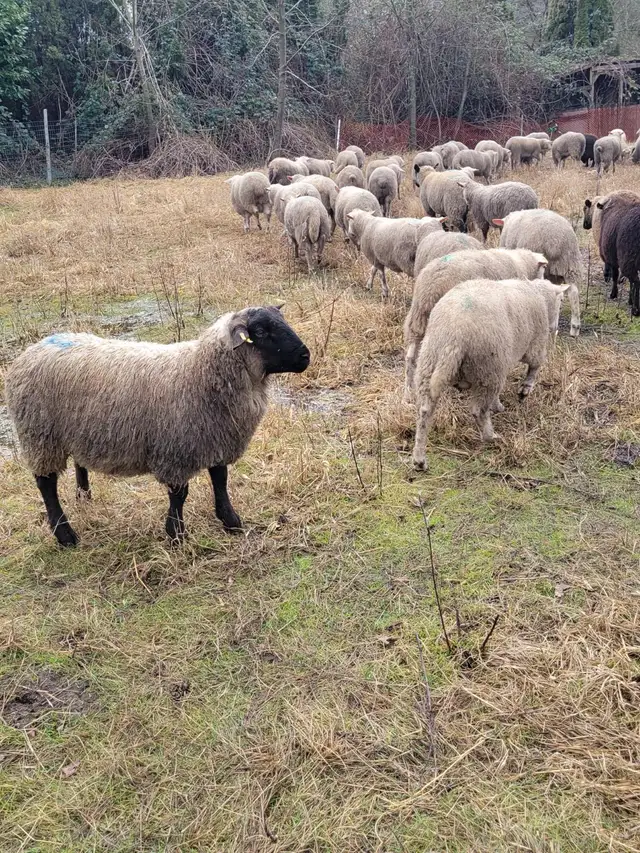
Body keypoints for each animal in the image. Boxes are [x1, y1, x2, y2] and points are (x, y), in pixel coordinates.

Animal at [6, 307, 310, 546]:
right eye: (259, 330)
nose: (306, 356)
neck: (199, 371)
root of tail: (31, 350)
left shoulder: (216, 437)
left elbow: (220, 481)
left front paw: (231, 521)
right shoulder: (175, 449)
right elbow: (179, 495)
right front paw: (176, 535)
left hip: (74, 432)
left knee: (77, 466)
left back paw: (84, 499)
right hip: (40, 435)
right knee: (46, 485)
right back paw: (65, 535)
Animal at [403, 248, 548, 400]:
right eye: (543, 269)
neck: (522, 264)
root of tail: (430, 287)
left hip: (418, 320)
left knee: (411, 357)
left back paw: (408, 393)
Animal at [410, 278, 567, 470]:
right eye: (561, 301)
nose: (555, 327)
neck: (539, 296)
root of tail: (454, 335)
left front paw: (498, 402)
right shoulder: (534, 344)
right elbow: (535, 366)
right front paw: (524, 390)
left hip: (429, 360)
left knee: (424, 411)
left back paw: (419, 459)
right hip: (488, 368)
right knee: (479, 410)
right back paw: (491, 436)